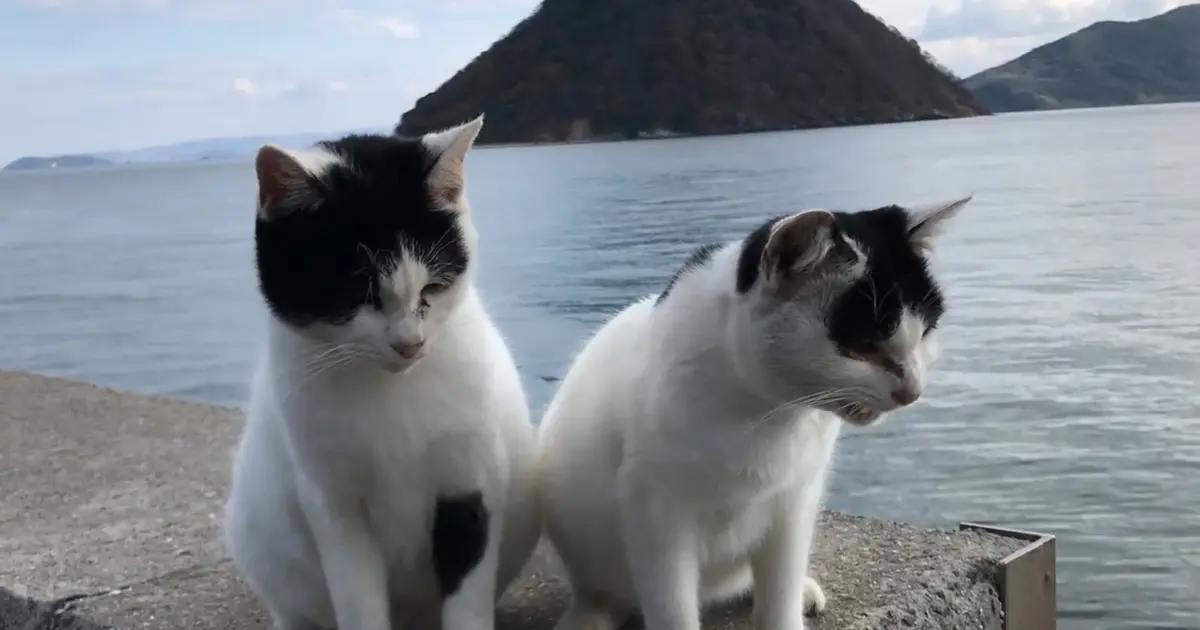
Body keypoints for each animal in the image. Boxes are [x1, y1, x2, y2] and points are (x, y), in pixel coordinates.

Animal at [222, 115, 540, 630]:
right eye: (358, 293)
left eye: (433, 287)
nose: (410, 343)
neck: (393, 390)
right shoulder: (334, 502)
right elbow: (358, 597)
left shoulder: (470, 481)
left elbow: (467, 592)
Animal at [535, 197, 972, 630]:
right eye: (863, 344)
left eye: (925, 333)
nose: (912, 391)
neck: (767, 413)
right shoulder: (657, 515)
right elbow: (672, 606)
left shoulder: (793, 502)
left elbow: (780, 588)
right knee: (604, 593)